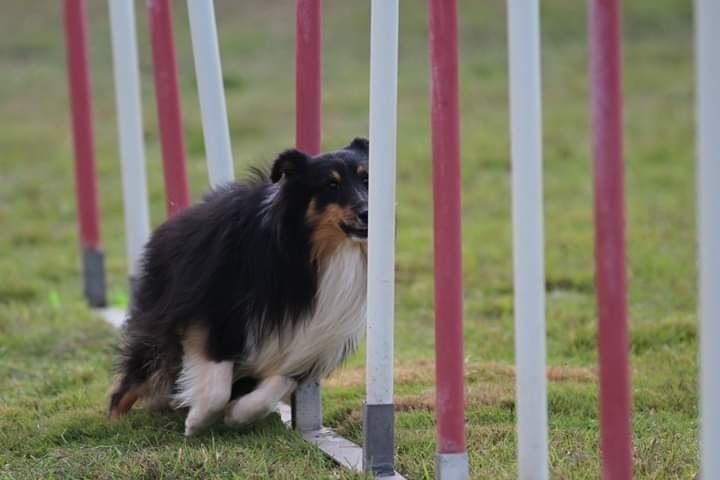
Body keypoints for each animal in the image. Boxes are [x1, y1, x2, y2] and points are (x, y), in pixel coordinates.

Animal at [112, 138, 372, 436]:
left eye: (367, 179)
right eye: (331, 184)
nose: (368, 213)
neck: (313, 252)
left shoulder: (307, 342)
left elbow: (271, 389)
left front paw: (237, 415)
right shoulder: (217, 315)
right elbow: (217, 389)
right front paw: (197, 420)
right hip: (160, 320)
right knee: (133, 378)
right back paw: (113, 421)